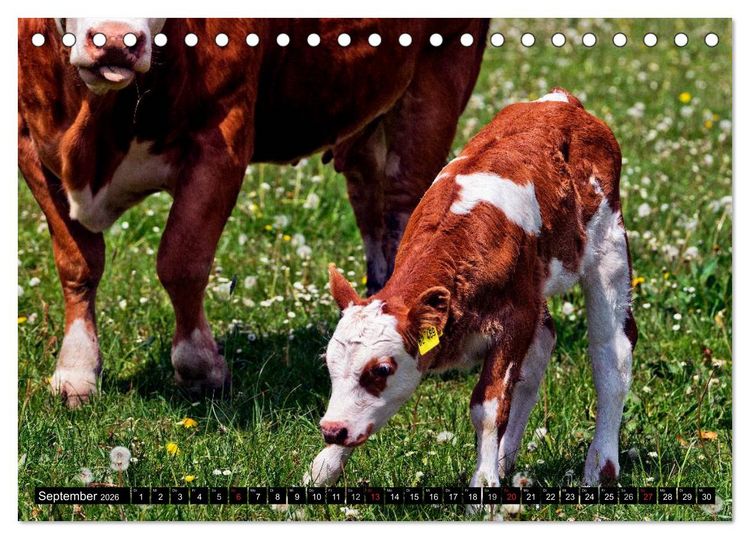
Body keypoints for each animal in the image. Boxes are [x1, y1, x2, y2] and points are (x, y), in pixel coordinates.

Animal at [18, 18, 488, 407]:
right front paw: (76, 371)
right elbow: (78, 263)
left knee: (404, 205)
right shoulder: (30, 142)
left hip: (437, 79)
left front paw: (200, 368)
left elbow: (181, 261)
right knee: (369, 200)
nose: (115, 39)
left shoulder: (222, 136)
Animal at [307, 88, 638, 498]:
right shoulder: (524, 304)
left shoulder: (514, 321)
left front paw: (483, 485)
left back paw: (600, 468)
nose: (331, 429)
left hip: (609, 249)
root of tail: (562, 103)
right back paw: (506, 461)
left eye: (381, 369)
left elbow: (488, 406)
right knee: (542, 349)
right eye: (329, 363)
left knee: (612, 355)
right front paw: (325, 466)